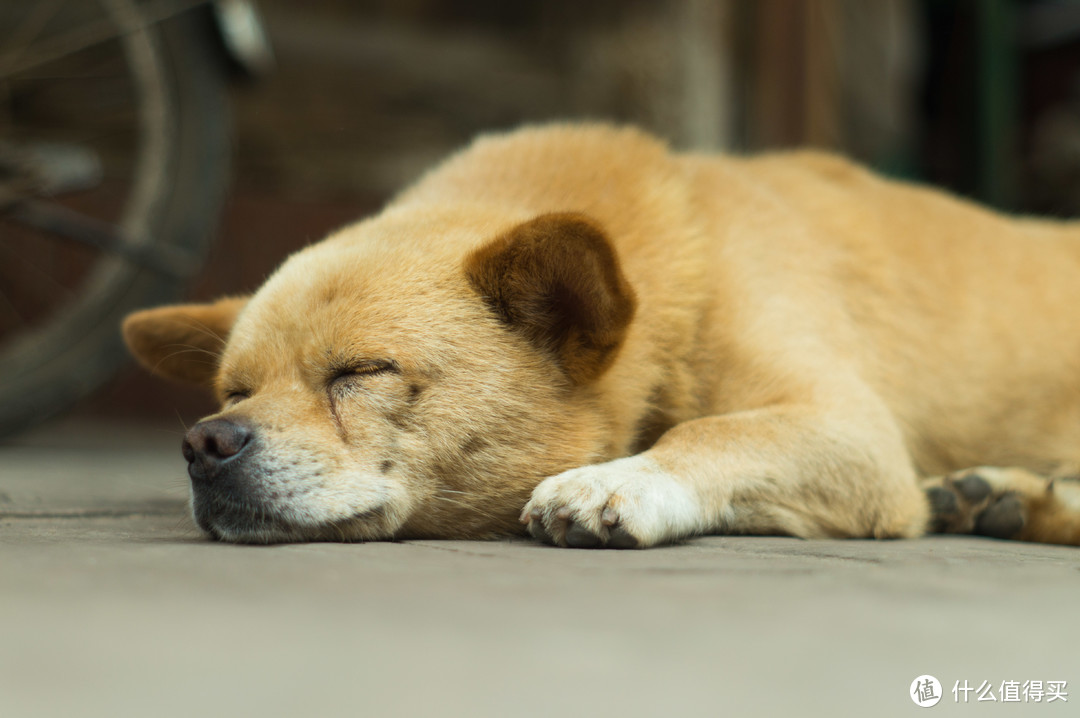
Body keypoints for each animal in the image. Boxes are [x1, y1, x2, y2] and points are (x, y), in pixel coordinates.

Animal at [122, 124, 1080, 548]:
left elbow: (710, 433)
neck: (688, 257)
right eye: (233, 392)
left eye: (362, 370)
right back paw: (1007, 498)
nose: (205, 444)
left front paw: (621, 480)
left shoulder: (854, 434)